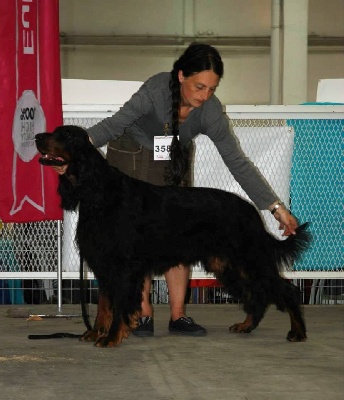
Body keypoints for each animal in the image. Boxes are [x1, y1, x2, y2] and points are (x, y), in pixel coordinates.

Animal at [35, 125, 312, 346]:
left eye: (66, 135)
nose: (37, 136)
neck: (99, 193)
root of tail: (251, 211)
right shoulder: (104, 265)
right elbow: (104, 305)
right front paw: (96, 333)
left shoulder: (122, 266)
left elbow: (119, 304)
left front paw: (111, 337)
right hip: (227, 264)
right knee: (258, 293)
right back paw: (246, 326)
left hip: (248, 258)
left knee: (285, 289)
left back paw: (297, 332)